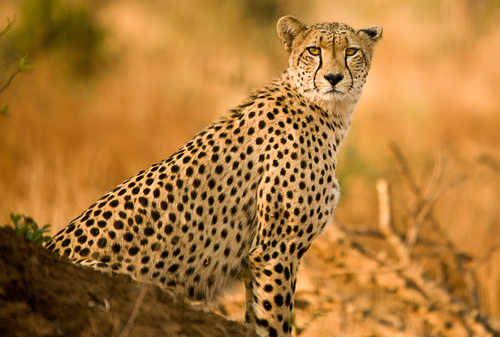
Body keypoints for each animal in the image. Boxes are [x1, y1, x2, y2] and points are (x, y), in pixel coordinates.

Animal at [46, 16, 382, 336]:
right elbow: (274, 320)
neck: (324, 110)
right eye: (314, 51)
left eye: (351, 52)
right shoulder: (275, 251)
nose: (334, 78)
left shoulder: (262, 257)